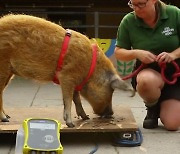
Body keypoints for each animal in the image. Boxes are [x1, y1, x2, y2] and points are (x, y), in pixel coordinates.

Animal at [0, 14, 134, 127]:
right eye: (111, 91)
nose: (111, 113)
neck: (90, 70)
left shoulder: (74, 81)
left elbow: (76, 98)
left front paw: (86, 117)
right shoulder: (67, 76)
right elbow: (68, 99)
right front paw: (71, 124)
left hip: (9, 72)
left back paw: (8, 116)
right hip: (3, 68)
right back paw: (5, 119)